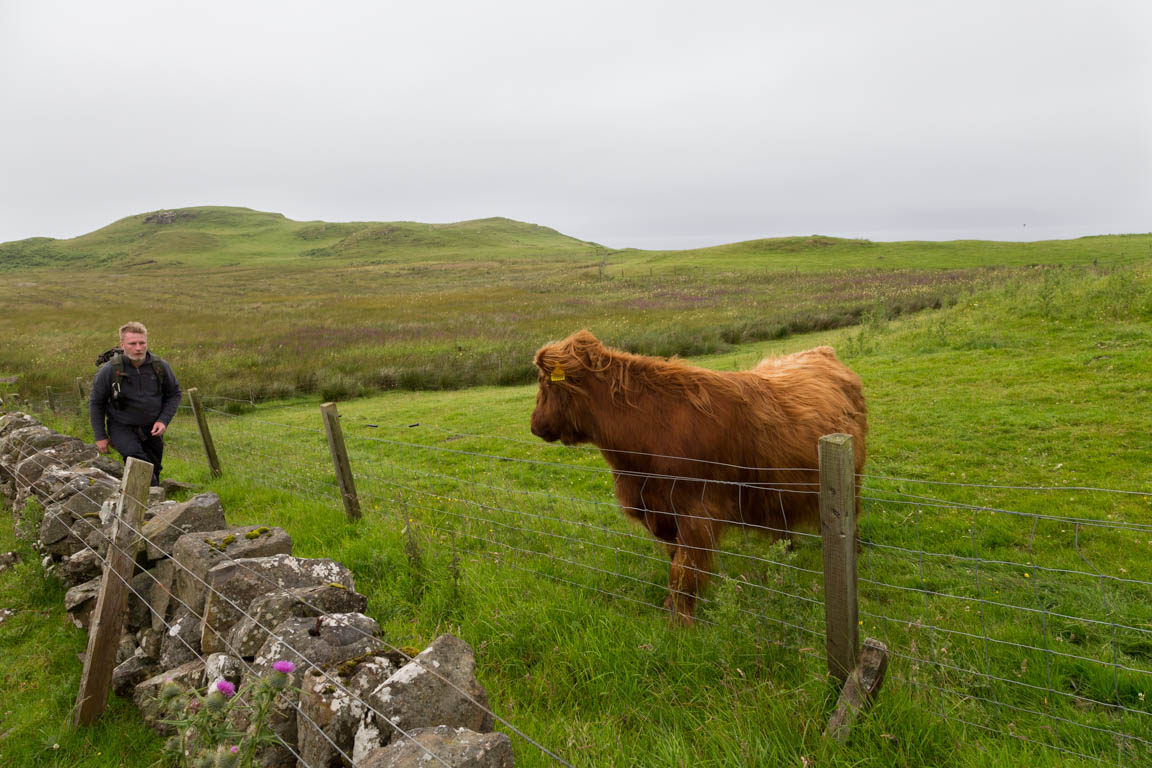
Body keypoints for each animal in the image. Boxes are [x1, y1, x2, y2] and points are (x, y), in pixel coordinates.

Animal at [529, 331, 866, 626]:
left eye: (545, 385)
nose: (534, 425)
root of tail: (821, 351)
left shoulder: (697, 511)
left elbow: (685, 570)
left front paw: (681, 621)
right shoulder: (659, 511)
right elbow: (675, 559)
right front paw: (672, 608)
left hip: (852, 477)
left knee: (850, 515)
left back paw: (856, 553)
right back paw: (783, 554)